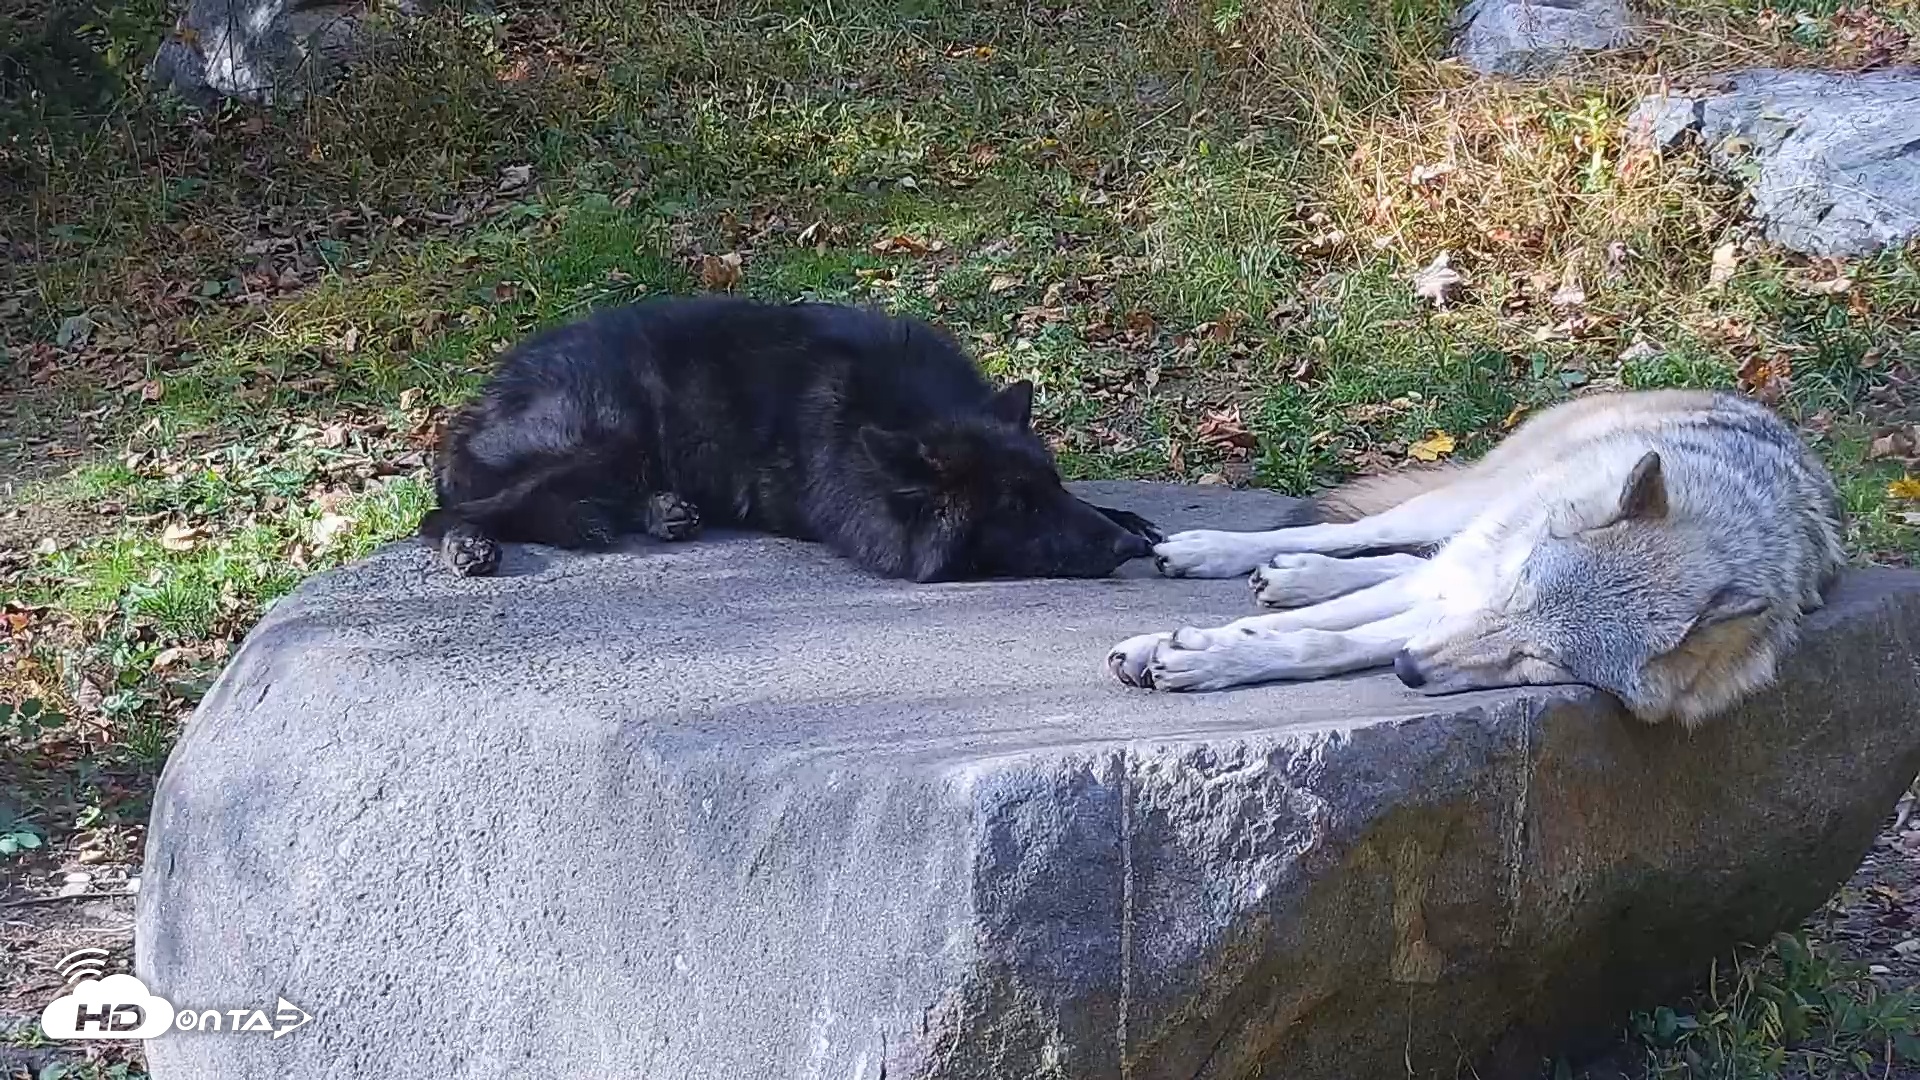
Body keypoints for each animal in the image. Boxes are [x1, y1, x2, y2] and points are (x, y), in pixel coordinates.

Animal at [418, 295, 1162, 582]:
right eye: (1016, 507)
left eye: (1053, 488)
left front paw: (1129, 519)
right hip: (606, 427)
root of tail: (481, 400)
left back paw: (662, 510)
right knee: (444, 512)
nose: (1126, 550)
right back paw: (467, 544)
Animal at [1107, 389, 1846, 726]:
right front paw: (1169, 647)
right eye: (1518, 592)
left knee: (1402, 563)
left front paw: (1207, 656)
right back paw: (1216, 551)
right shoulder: (1472, 587)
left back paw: (1296, 579)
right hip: (1460, 510)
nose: (1408, 671)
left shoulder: (1445, 614)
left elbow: (1324, 644)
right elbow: (1294, 631)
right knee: (1368, 535)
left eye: (1538, 660)